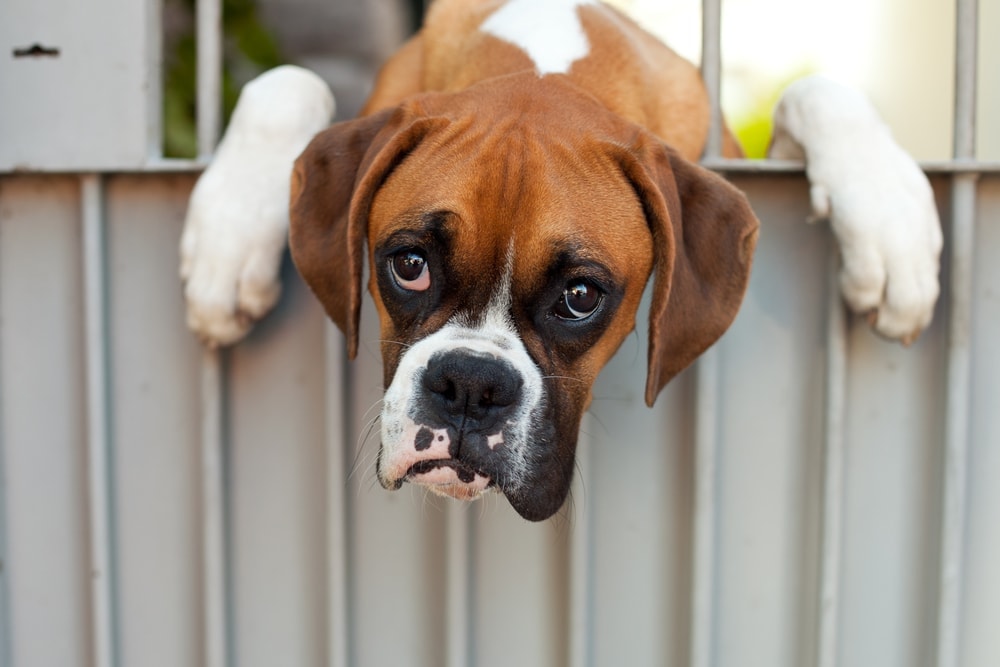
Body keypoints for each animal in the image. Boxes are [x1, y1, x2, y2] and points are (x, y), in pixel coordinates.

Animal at [184, 0, 940, 520]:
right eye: (409, 264)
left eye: (580, 296)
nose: (470, 385)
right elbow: (287, 79)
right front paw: (226, 238)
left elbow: (815, 89)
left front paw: (891, 221)